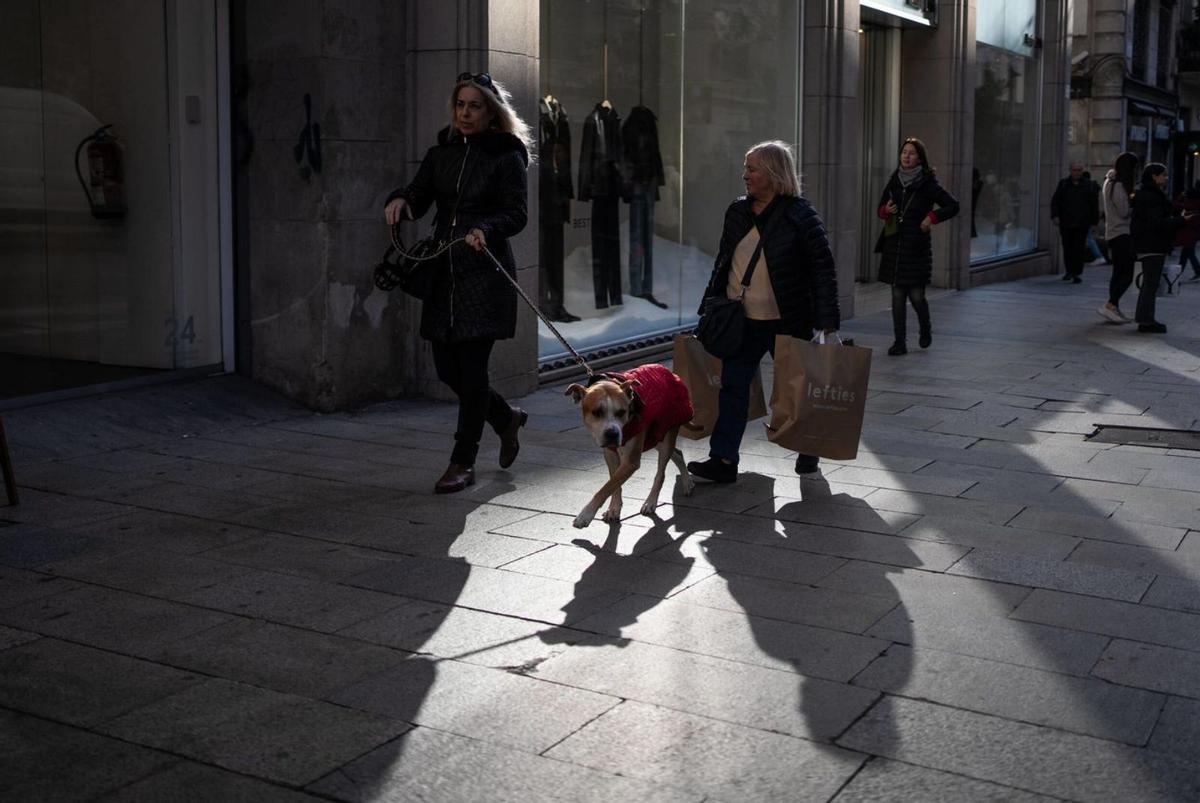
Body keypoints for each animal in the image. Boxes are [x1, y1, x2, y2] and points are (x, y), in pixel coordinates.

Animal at [566, 362, 700, 525]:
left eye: (621, 412)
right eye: (597, 412)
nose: (612, 433)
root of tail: (667, 370)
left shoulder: (631, 462)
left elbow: (607, 486)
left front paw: (586, 514)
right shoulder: (610, 454)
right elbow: (614, 482)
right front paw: (614, 509)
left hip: (666, 431)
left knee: (661, 473)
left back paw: (651, 502)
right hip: (656, 435)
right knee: (678, 453)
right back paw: (687, 483)